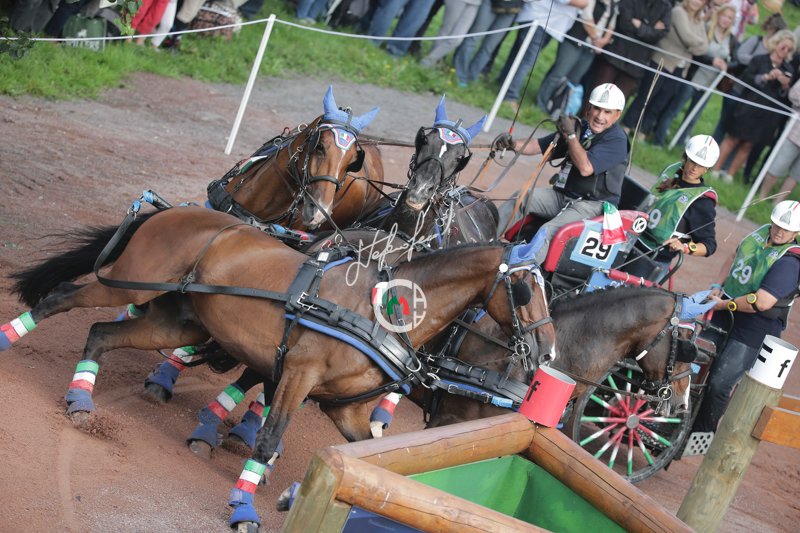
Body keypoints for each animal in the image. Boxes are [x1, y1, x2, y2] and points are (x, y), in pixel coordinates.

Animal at [2, 206, 555, 530]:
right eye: (525, 289)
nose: (546, 353)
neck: (382, 309)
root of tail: (172, 209)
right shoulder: (299, 374)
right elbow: (268, 439)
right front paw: (243, 506)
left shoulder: (345, 409)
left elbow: (368, 456)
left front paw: (301, 492)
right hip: (126, 282)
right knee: (61, 298)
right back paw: (11, 343)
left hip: (174, 322)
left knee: (101, 333)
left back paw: (81, 400)